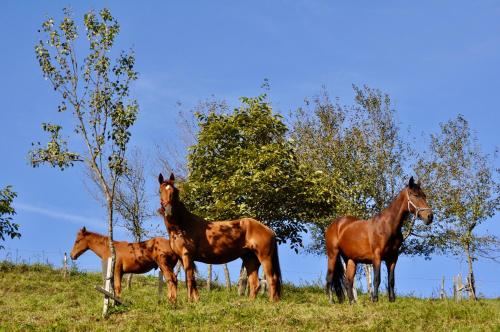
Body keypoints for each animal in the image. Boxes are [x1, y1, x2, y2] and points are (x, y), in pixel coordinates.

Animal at [156, 172, 282, 302]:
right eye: (160, 191)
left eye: (175, 191)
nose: (169, 211)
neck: (182, 226)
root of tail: (269, 230)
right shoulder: (182, 258)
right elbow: (192, 280)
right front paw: (196, 300)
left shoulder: (187, 256)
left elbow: (189, 279)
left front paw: (190, 301)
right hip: (250, 259)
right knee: (255, 283)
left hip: (265, 257)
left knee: (271, 279)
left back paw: (272, 301)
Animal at [326, 176, 432, 304]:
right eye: (415, 195)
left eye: (424, 195)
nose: (430, 217)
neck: (388, 226)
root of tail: (335, 224)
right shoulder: (377, 256)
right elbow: (377, 279)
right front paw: (375, 300)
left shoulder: (393, 258)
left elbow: (391, 280)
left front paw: (392, 300)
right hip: (333, 255)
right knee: (330, 278)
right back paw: (331, 301)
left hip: (350, 259)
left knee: (348, 281)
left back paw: (352, 302)